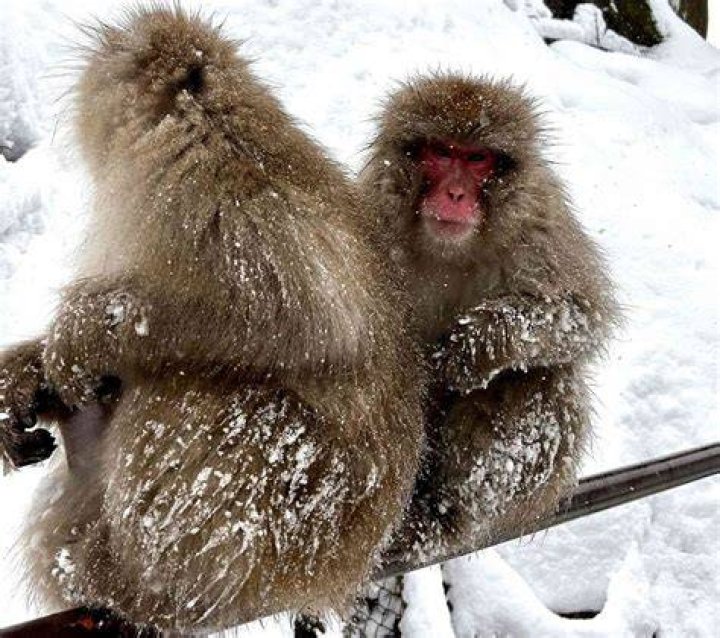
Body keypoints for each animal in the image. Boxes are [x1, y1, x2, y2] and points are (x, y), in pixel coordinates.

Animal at [0, 7, 425, 634]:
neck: (208, 118)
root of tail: (337, 575)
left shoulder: (211, 192)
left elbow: (298, 318)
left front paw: (88, 331)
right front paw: (25, 378)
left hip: (286, 534)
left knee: (206, 401)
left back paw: (133, 586)